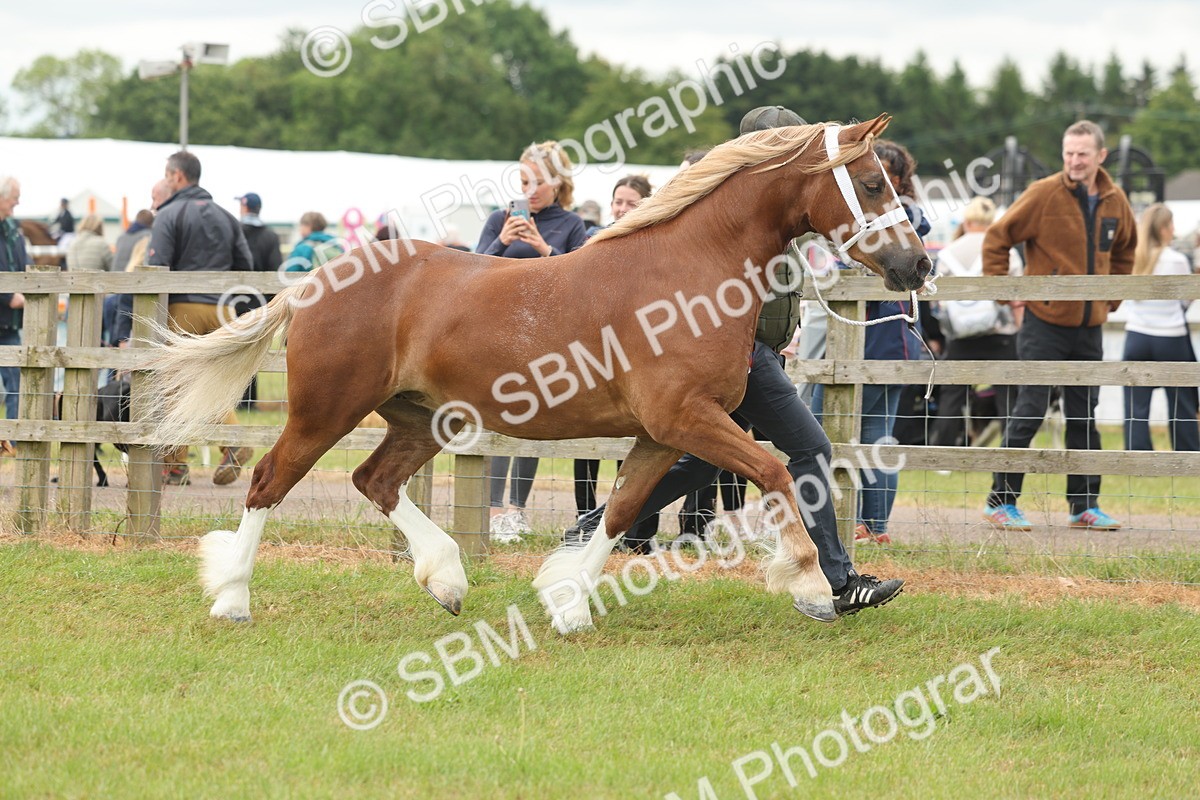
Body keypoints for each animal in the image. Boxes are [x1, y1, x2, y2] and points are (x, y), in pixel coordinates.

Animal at [145, 114, 931, 633]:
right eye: (871, 180)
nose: (917, 265)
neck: (689, 271)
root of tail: (317, 279)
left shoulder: (663, 434)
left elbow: (619, 512)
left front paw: (568, 603)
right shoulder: (687, 419)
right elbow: (773, 474)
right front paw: (810, 583)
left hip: (420, 419)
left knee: (376, 481)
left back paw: (446, 580)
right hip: (324, 411)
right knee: (268, 482)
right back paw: (234, 598)